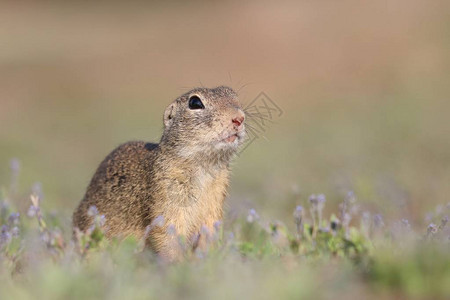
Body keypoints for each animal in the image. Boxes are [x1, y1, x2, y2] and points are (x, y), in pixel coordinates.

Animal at [72, 86, 246, 260]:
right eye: (195, 103)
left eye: (233, 95)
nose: (239, 118)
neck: (205, 168)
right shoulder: (167, 197)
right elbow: (168, 234)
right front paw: (178, 263)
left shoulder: (214, 204)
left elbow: (209, 234)